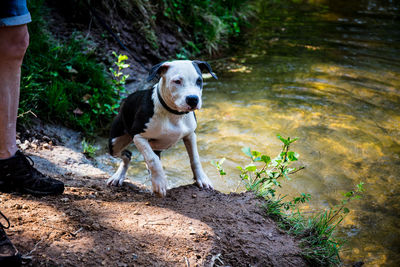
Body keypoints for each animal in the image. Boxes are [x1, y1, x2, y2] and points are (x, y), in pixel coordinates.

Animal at [107, 61, 219, 199]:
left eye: (199, 80)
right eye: (177, 81)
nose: (193, 99)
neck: (174, 114)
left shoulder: (190, 135)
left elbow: (195, 158)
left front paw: (202, 178)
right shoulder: (139, 136)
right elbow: (152, 160)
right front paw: (160, 183)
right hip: (114, 143)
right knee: (127, 154)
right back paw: (118, 176)